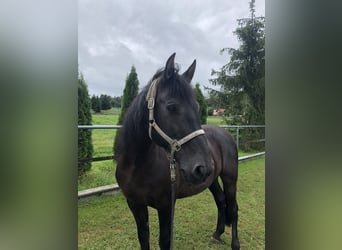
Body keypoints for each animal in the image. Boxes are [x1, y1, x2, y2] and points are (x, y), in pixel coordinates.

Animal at [115, 53, 240, 250]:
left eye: (197, 107)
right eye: (172, 106)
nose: (202, 167)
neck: (138, 166)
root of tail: (225, 133)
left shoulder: (166, 206)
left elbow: (165, 241)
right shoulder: (135, 204)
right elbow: (143, 237)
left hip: (229, 177)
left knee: (233, 208)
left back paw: (235, 244)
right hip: (211, 179)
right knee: (221, 200)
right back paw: (217, 234)